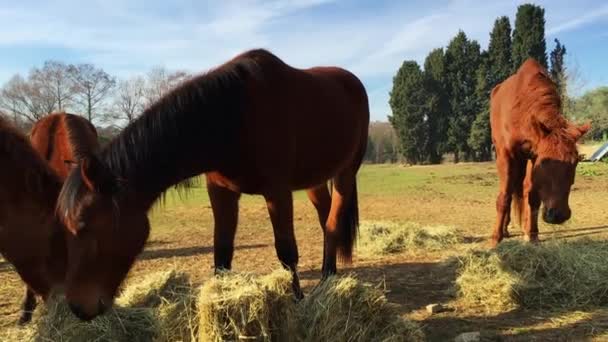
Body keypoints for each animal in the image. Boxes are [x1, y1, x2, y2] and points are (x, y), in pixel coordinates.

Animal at [58, 48, 370, 320]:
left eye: (84, 227)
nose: (77, 307)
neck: (234, 117)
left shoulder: (277, 192)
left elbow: (286, 251)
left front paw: (296, 300)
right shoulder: (221, 192)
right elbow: (222, 251)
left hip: (345, 173)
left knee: (332, 224)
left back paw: (327, 280)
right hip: (313, 181)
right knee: (326, 219)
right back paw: (330, 277)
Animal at [490, 58, 588, 246]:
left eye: (576, 162)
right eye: (545, 162)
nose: (558, 216)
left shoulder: (532, 156)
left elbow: (532, 197)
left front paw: (533, 236)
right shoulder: (507, 154)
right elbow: (504, 196)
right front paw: (495, 239)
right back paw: (504, 230)